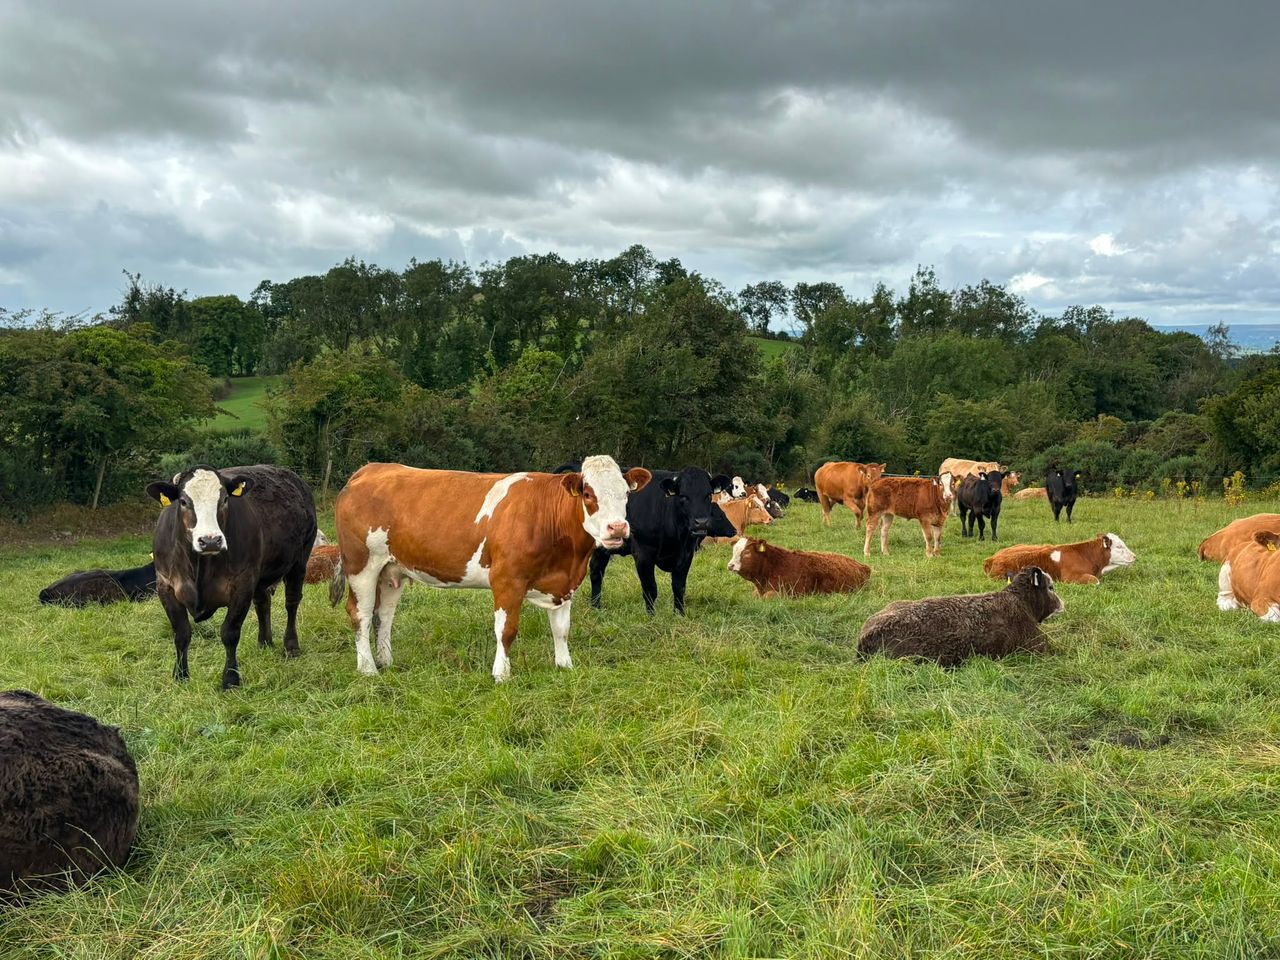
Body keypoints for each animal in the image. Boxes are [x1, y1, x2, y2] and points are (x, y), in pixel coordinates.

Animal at [147, 464, 317, 690]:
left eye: (225, 499)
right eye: (183, 501)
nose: (210, 541)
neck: (199, 567)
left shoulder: (242, 584)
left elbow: (230, 633)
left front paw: (230, 679)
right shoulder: (165, 585)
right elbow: (181, 633)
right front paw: (181, 675)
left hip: (299, 560)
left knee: (292, 603)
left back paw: (291, 646)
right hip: (260, 575)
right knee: (263, 603)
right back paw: (264, 642)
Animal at [330, 456, 651, 681]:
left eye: (626, 494)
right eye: (587, 494)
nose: (617, 528)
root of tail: (370, 469)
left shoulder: (564, 583)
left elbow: (561, 629)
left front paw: (564, 665)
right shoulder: (507, 579)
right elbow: (506, 630)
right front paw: (501, 674)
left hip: (391, 570)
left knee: (383, 615)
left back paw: (385, 661)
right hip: (362, 565)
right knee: (360, 614)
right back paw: (368, 668)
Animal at [589, 467, 736, 615]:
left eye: (708, 495)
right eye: (683, 496)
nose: (701, 523)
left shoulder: (686, 554)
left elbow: (679, 587)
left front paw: (679, 614)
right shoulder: (643, 553)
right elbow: (650, 589)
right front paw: (651, 616)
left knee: (596, 572)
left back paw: (596, 607)